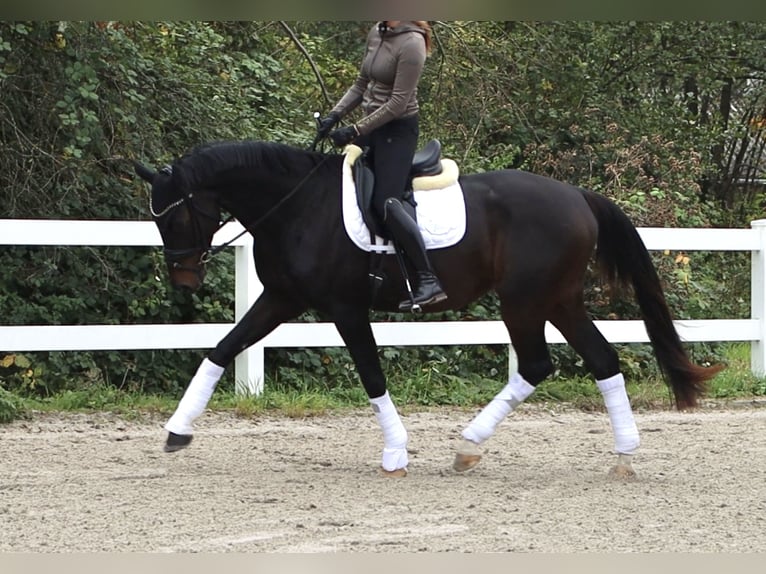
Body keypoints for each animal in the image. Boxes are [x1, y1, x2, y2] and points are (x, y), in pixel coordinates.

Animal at [134, 137, 728, 480]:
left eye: (176, 215)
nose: (184, 277)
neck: (299, 204)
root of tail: (577, 196)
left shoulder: (345, 309)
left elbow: (371, 375)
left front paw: (395, 453)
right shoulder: (281, 299)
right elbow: (221, 349)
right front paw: (177, 430)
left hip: (525, 299)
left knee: (539, 363)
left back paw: (472, 446)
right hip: (555, 299)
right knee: (599, 360)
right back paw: (620, 454)